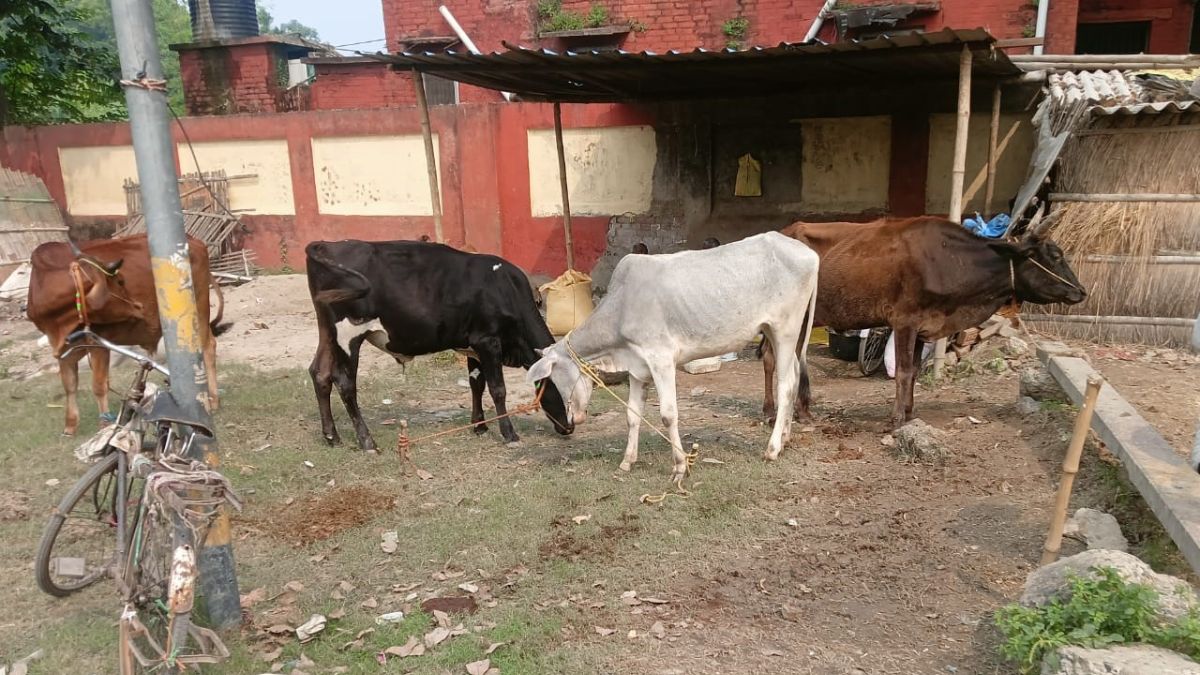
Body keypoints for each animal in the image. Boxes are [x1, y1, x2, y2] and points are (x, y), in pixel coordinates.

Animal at [26, 235, 226, 436]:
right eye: (121, 282)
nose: (139, 306)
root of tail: (194, 241)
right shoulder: (64, 347)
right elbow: (69, 384)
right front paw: (70, 426)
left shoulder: (97, 342)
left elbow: (99, 385)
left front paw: (105, 424)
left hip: (198, 311)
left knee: (208, 347)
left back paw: (212, 399)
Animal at [305, 239, 573, 451]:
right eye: (562, 387)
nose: (570, 428)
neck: (505, 289)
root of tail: (327, 244)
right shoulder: (488, 341)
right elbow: (498, 389)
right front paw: (509, 434)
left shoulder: (473, 345)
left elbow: (476, 384)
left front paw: (479, 426)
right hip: (348, 334)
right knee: (345, 383)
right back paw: (367, 441)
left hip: (327, 330)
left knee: (320, 373)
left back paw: (332, 436)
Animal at [527, 232, 819, 482]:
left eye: (555, 379)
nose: (573, 421)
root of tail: (809, 253)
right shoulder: (638, 368)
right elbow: (632, 414)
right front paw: (627, 461)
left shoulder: (661, 359)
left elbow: (668, 414)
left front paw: (680, 466)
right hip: (772, 331)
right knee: (794, 376)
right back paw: (786, 438)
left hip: (785, 329)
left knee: (786, 385)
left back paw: (772, 448)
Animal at [760, 215, 1086, 428]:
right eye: (1055, 256)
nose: (1081, 291)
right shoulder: (905, 321)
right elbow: (904, 372)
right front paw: (896, 419)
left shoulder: (923, 327)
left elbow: (915, 371)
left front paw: (910, 412)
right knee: (773, 358)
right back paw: (775, 411)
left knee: (774, 356)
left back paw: (793, 411)